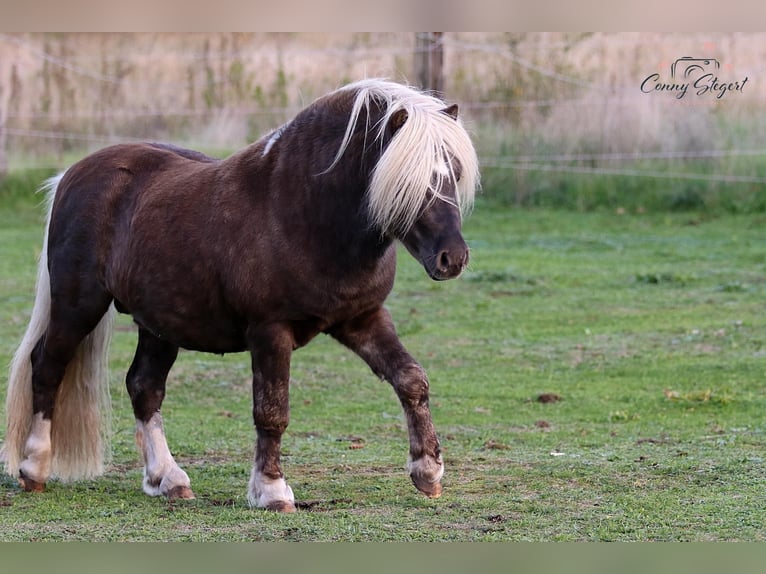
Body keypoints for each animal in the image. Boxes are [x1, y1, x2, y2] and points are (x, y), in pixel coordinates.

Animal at [3, 77, 480, 512]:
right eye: (409, 181)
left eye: (454, 174)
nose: (452, 258)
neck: (301, 211)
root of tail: (72, 175)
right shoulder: (270, 331)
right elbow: (272, 410)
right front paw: (272, 490)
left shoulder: (362, 318)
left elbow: (411, 379)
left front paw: (428, 471)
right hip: (77, 306)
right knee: (47, 367)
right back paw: (33, 468)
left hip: (158, 324)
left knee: (143, 387)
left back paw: (167, 479)